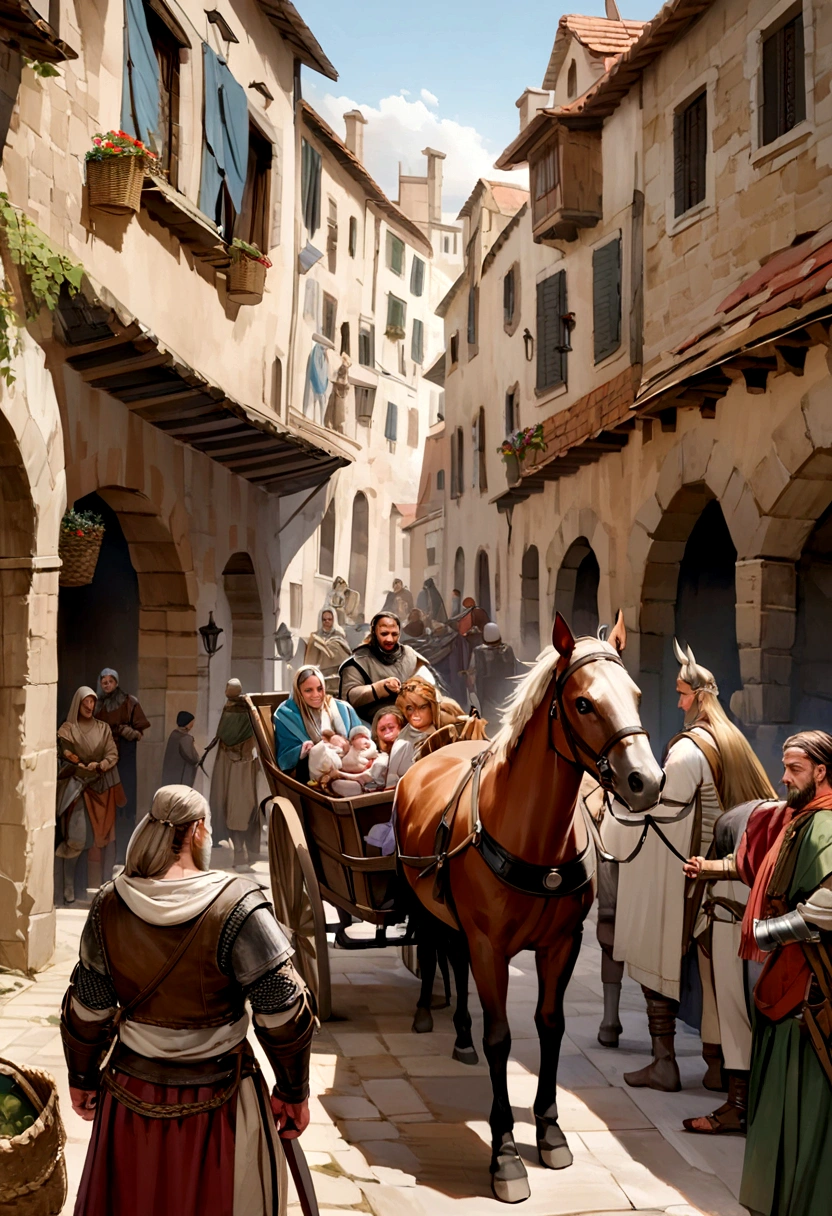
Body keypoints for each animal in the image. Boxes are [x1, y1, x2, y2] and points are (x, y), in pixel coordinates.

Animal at [396, 612, 661, 1201]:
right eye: (583, 703)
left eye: (636, 694)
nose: (646, 782)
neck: (535, 836)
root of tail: (434, 751)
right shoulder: (490, 945)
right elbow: (501, 1037)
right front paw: (505, 1156)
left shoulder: (562, 944)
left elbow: (550, 1025)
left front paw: (550, 1131)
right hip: (423, 899)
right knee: (432, 946)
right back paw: (425, 1012)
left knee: (453, 960)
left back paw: (460, 1035)